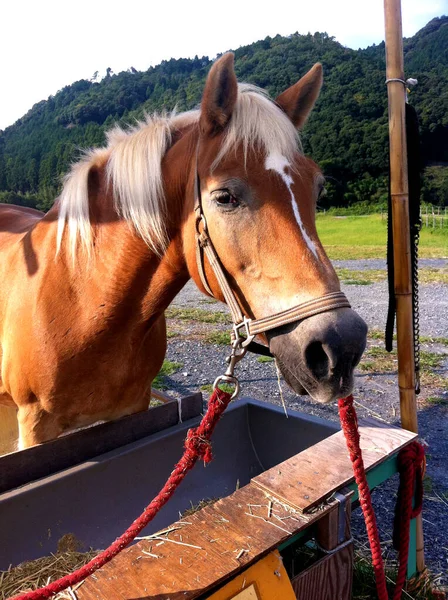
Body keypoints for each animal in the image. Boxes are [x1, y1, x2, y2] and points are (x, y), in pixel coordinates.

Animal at [0, 54, 368, 450]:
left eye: (317, 188)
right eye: (224, 197)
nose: (342, 345)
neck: (83, 302)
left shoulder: (134, 409)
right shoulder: (36, 426)